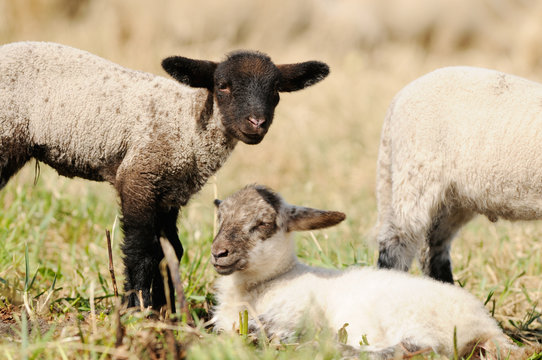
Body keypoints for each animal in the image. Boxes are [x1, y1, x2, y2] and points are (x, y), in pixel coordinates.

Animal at [0, 40, 332, 310]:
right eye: (222, 85)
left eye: (275, 90)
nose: (256, 123)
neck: (189, 123)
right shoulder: (139, 177)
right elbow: (141, 249)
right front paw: (138, 308)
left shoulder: (171, 189)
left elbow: (171, 249)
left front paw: (167, 308)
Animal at [211, 186, 536, 360]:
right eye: (220, 217)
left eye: (263, 223)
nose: (218, 253)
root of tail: (487, 326)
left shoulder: (295, 311)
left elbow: (261, 330)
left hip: (413, 320)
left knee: (414, 350)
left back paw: (333, 348)